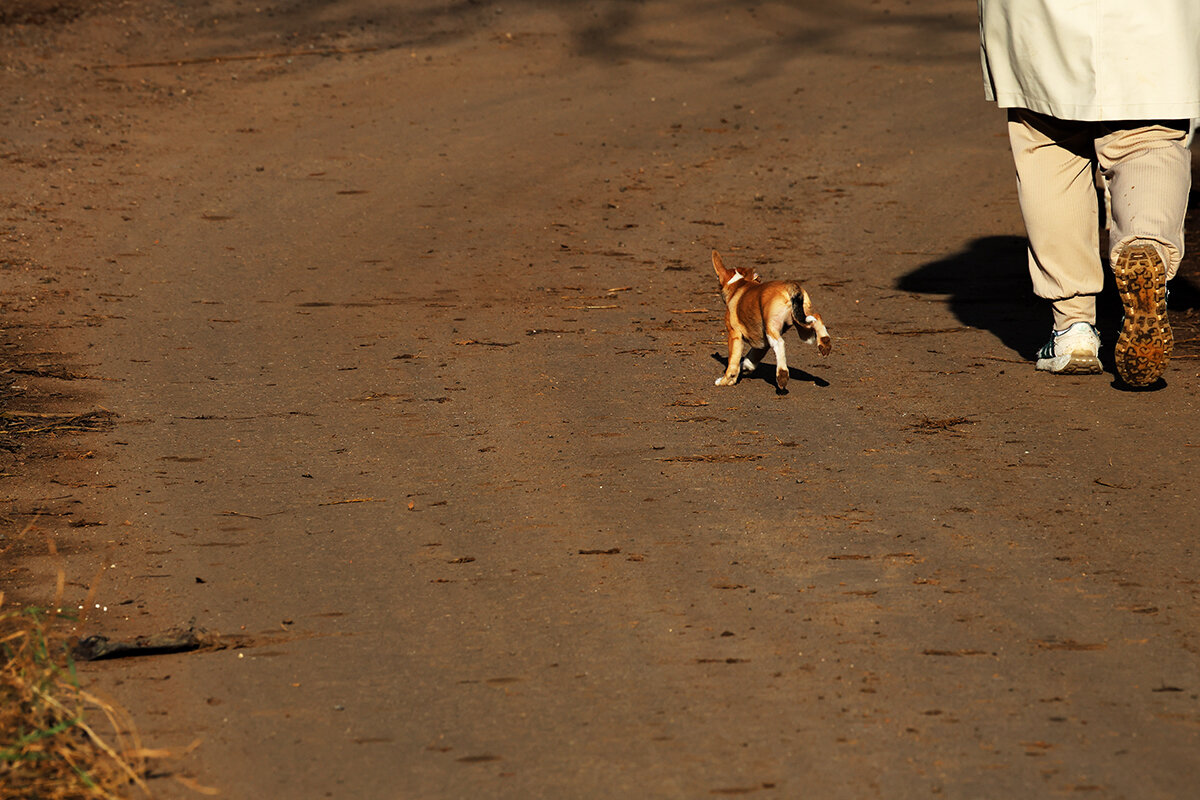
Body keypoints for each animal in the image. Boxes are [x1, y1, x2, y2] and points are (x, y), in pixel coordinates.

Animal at [705, 248, 830, 388]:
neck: (738, 284)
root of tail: (788, 286)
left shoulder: (734, 335)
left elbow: (733, 362)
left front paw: (725, 380)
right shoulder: (762, 344)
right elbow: (749, 361)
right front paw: (743, 369)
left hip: (772, 327)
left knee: (779, 343)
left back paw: (782, 375)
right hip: (803, 326)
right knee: (817, 319)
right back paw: (825, 343)